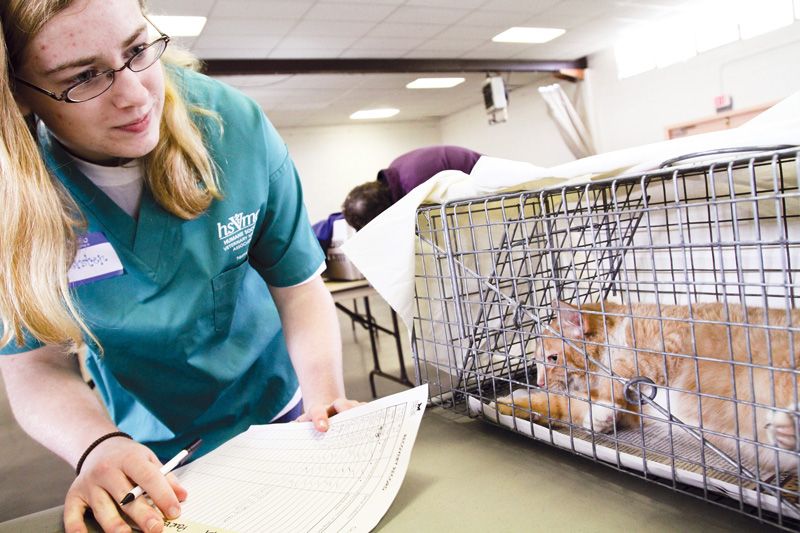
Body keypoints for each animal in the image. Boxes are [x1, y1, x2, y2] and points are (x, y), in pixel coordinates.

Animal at [500, 300, 800, 470]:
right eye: (536, 363)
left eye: (552, 358)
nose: (538, 381)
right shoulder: (636, 412)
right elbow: (564, 404)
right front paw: (510, 404)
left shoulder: (666, 345)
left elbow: (620, 376)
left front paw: (601, 411)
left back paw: (791, 426)